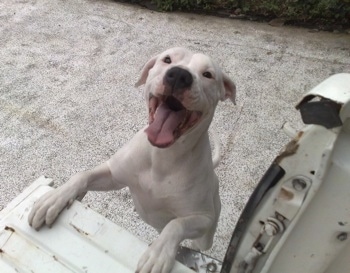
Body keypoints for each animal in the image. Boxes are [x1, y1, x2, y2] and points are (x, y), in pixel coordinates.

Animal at [27, 47, 235, 272]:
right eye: (167, 59)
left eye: (208, 74)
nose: (179, 75)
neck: (161, 157)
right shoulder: (112, 175)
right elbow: (81, 175)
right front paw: (54, 199)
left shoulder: (203, 217)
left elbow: (177, 224)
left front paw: (158, 254)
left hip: (206, 232)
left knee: (198, 241)